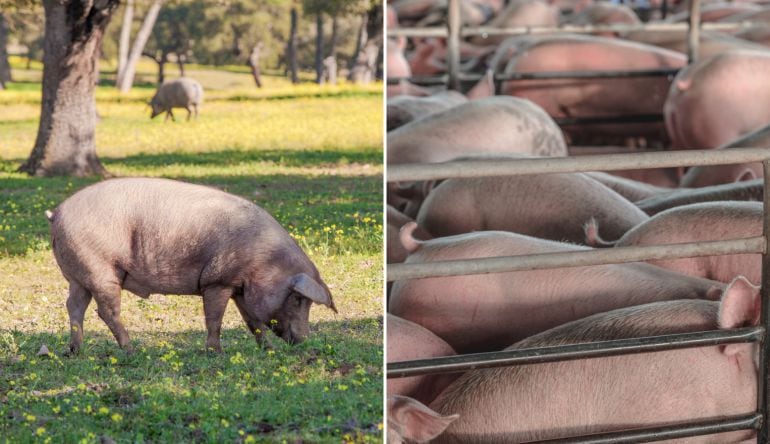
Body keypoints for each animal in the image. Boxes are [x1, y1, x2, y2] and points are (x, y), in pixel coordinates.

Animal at [47, 177, 336, 354]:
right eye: (298, 299)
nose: (304, 340)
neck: (266, 260)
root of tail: (57, 213)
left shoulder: (240, 288)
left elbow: (253, 321)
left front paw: (268, 350)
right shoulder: (218, 281)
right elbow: (215, 318)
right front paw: (216, 353)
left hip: (78, 274)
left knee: (74, 306)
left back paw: (75, 350)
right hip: (100, 268)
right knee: (105, 311)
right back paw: (131, 349)